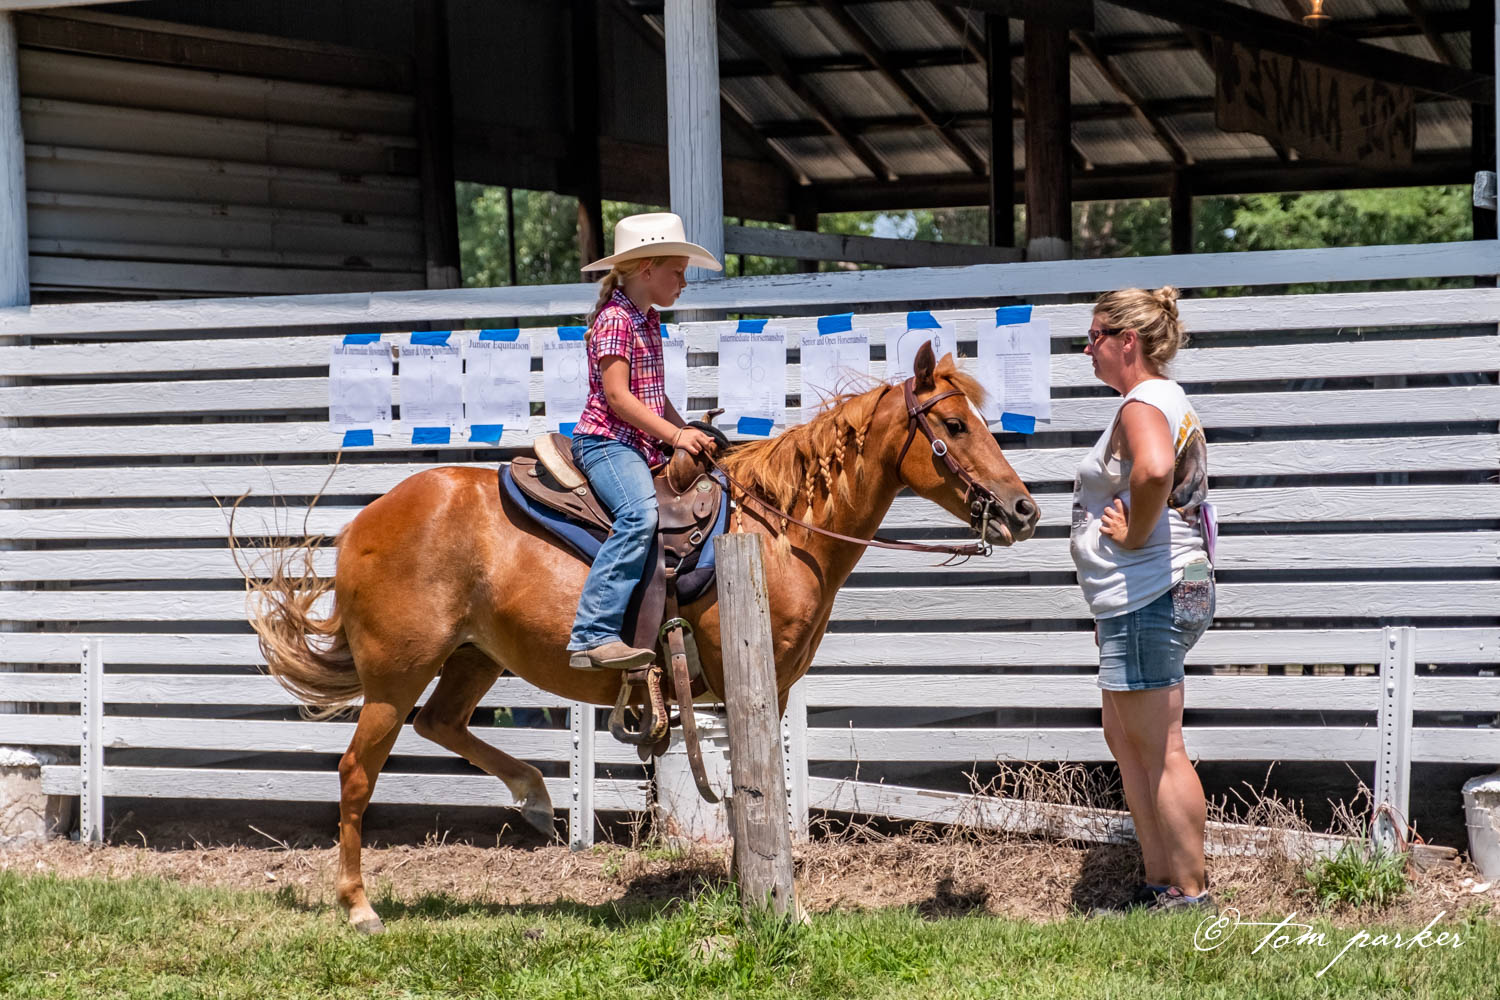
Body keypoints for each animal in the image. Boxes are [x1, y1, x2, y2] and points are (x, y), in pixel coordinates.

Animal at [246, 342, 1038, 934]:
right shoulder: (756, 683)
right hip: (397, 673)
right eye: (956, 427)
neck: (778, 529)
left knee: (441, 724)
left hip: (473, 659)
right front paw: (783, 905)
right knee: (358, 771)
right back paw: (359, 906)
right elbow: (758, 789)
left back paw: (535, 797)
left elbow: (746, 789)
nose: (1022, 509)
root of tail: (362, 524)